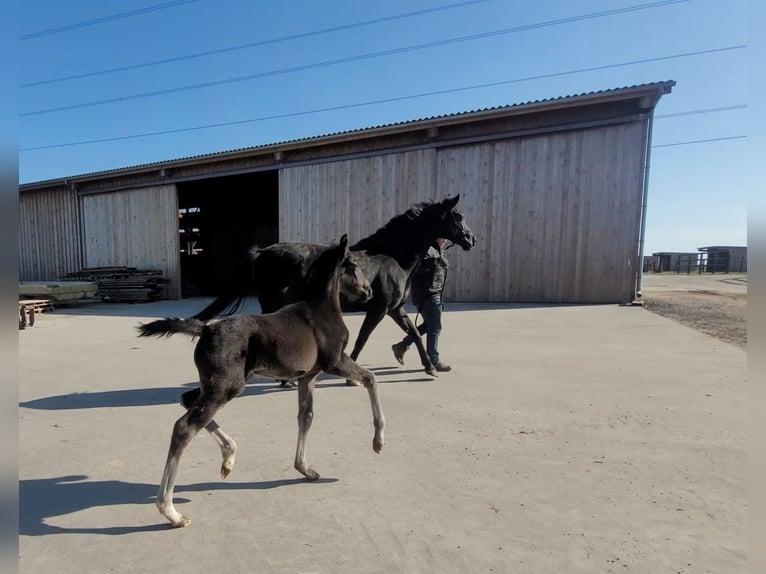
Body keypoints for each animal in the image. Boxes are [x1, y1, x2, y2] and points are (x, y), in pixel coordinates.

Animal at [136, 234, 384, 528]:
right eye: (354, 265)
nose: (368, 292)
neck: (322, 308)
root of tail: (206, 329)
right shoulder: (334, 362)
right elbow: (370, 379)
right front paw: (378, 442)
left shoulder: (307, 376)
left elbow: (306, 416)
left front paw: (306, 469)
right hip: (227, 386)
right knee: (185, 427)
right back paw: (170, 511)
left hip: (217, 383)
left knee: (187, 400)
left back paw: (228, 458)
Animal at [191, 195, 476, 384]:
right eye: (458, 216)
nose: (471, 239)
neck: (392, 258)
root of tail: (262, 252)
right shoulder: (379, 308)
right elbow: (363, 337)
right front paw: (351, 376)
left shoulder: (395, 309)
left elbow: (415, 333)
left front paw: (429, 367)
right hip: (272, 302)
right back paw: (286, 380)